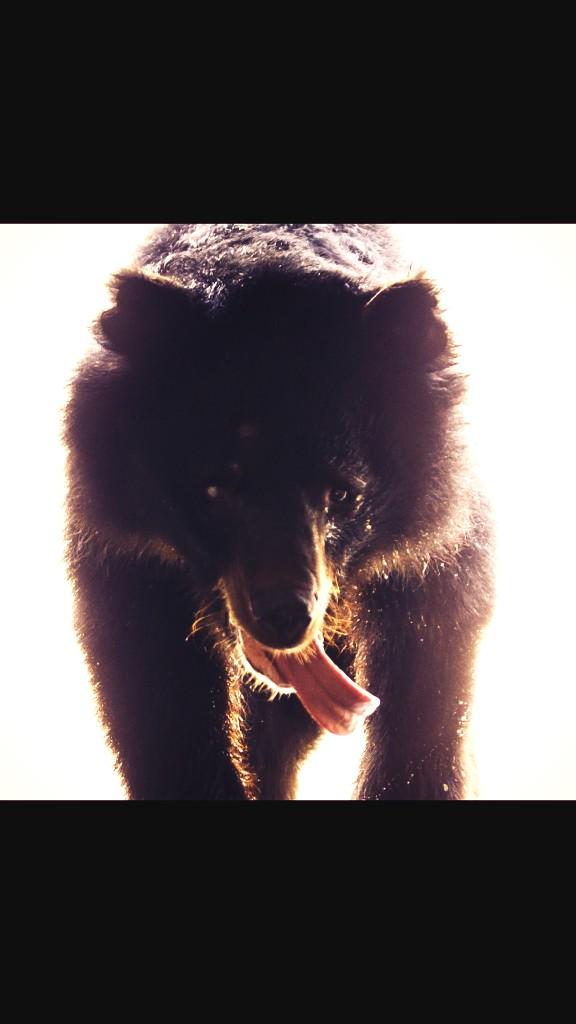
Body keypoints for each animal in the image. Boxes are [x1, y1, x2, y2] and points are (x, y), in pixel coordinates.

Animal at [64, 224, 494, 800]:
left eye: (343, 495)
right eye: (215, 490)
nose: (285, 619)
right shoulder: (128, 574)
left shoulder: (435, 577)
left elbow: (423, 731)